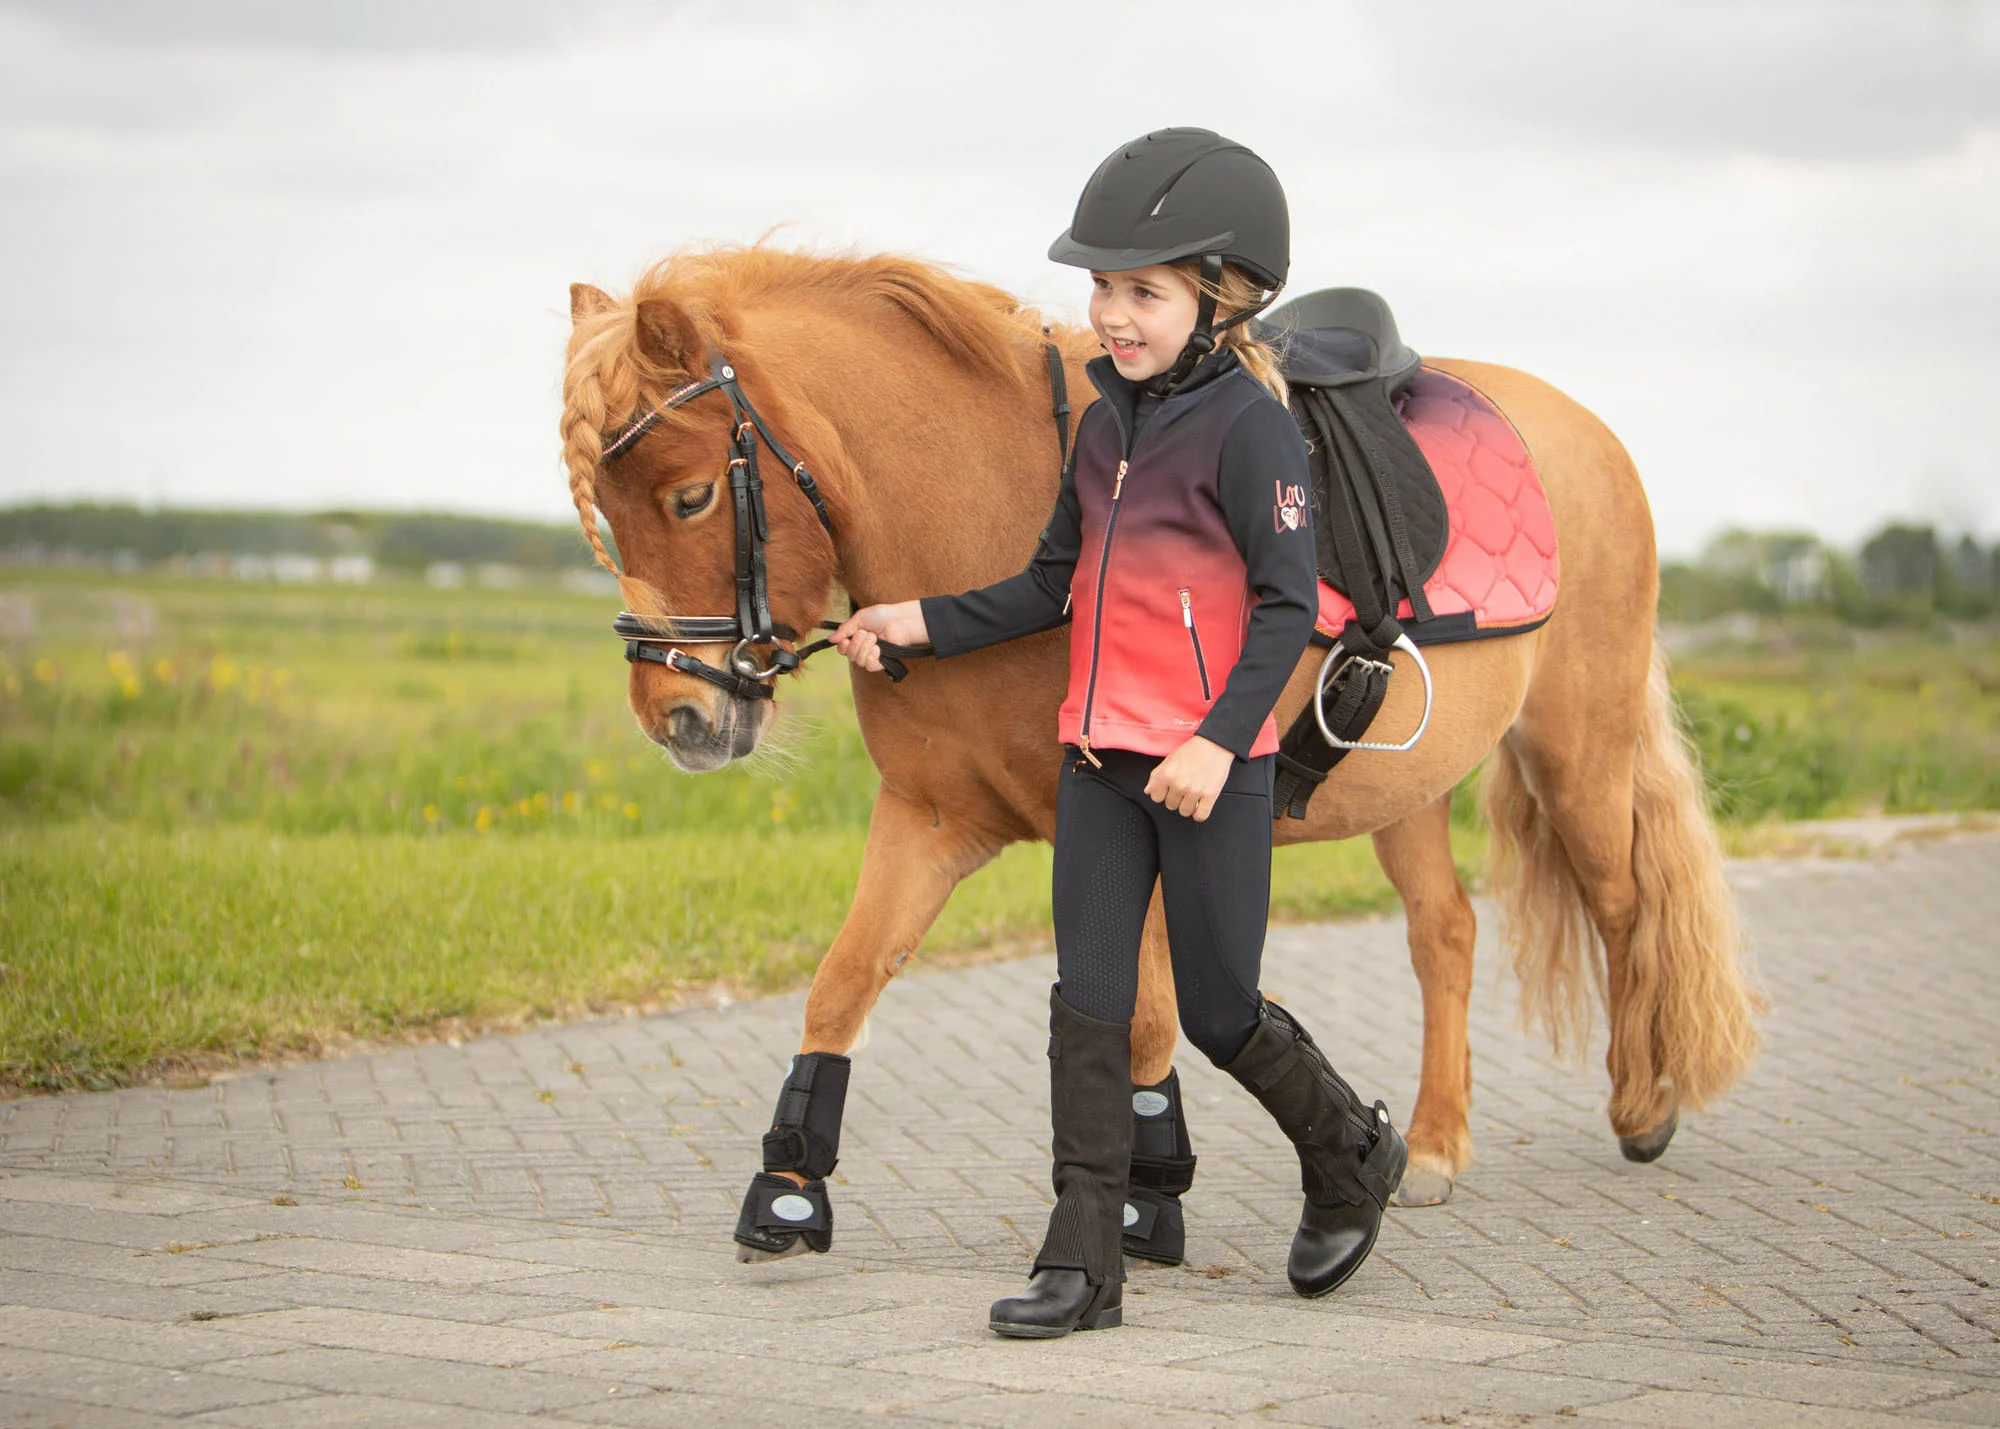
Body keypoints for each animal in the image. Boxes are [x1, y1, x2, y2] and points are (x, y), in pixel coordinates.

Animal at [559, 244, 1761, 1231]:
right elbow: (843, 980)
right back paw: (1429, 1147)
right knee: (1446, 934)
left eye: (691, 495)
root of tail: (1584, 428)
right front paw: (790, 1187)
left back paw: (1641, 1104)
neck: (996, 511)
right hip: (1405, 788)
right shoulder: (933, 819)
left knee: (1623, 902)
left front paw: (1144, 1202)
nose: (679, 717)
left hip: (1578, 745)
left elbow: (1138, 1020)